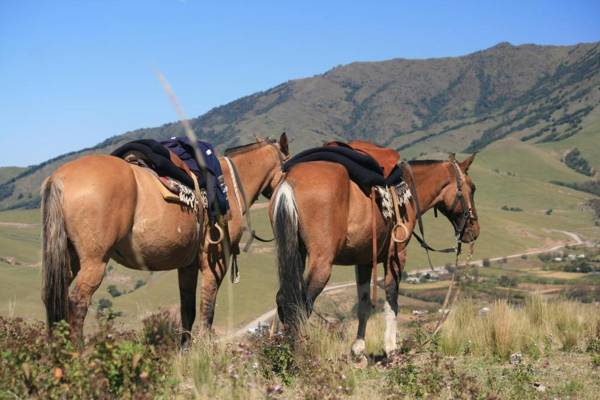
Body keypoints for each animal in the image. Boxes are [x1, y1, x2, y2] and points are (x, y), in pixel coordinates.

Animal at [42, 134, 288, 340]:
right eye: (287, 164)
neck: (227, 185)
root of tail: (58, 178)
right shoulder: (215, 263)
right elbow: (207, 311)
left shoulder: (188, 265)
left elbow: (188, 311)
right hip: (95, 261)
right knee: (77, 303)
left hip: (69, 259)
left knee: (53, 297)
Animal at [272, 154, 478, 356]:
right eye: (473, 188)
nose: (474, 230)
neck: (408, 192)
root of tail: (289, 181)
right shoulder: (396, 255)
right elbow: (392, 298)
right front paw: (390, 347)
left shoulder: (363, 261)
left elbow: (364, 304)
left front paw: (358, 348)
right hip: (322, 262)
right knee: (300, 304)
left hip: (296, 253)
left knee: (284, 299)